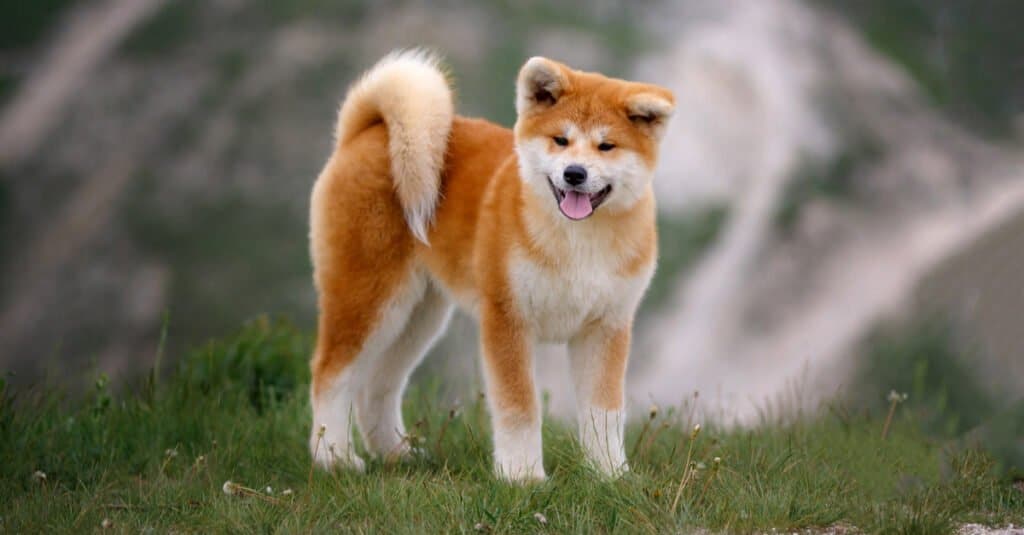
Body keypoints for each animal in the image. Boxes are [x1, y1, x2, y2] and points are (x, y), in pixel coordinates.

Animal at [309, 49, 679, 481]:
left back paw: (396, 455)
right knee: (330, 374)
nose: (574, 173)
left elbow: (603, 412)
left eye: (607, 146)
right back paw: (332, 456)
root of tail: (364, 133)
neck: (577, 241)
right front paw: (522, 476)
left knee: (377, 385)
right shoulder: (507, 317)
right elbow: (520, 407)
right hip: (368, 298)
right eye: (561, 140)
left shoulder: (605, 328)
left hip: (418, 316)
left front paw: (609, 474)